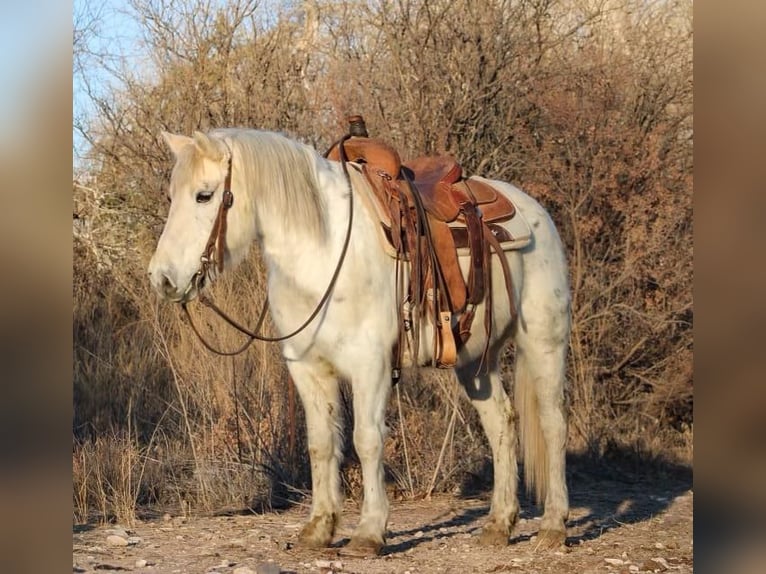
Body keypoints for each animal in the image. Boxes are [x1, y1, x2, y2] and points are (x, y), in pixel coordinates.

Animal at [148, 127, 571, 554]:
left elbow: (366, 439)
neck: (322, 253)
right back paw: (499, 524)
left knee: (553, 423)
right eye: (171, 196)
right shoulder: (307, 368)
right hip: (475, 362)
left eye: (204, 195)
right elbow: (320, 442)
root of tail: (532, 209)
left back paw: (554, 525)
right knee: (501, 423)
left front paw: (369, 530)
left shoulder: (372, 365)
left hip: (543, 342)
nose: (162, 278)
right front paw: (319, 527)